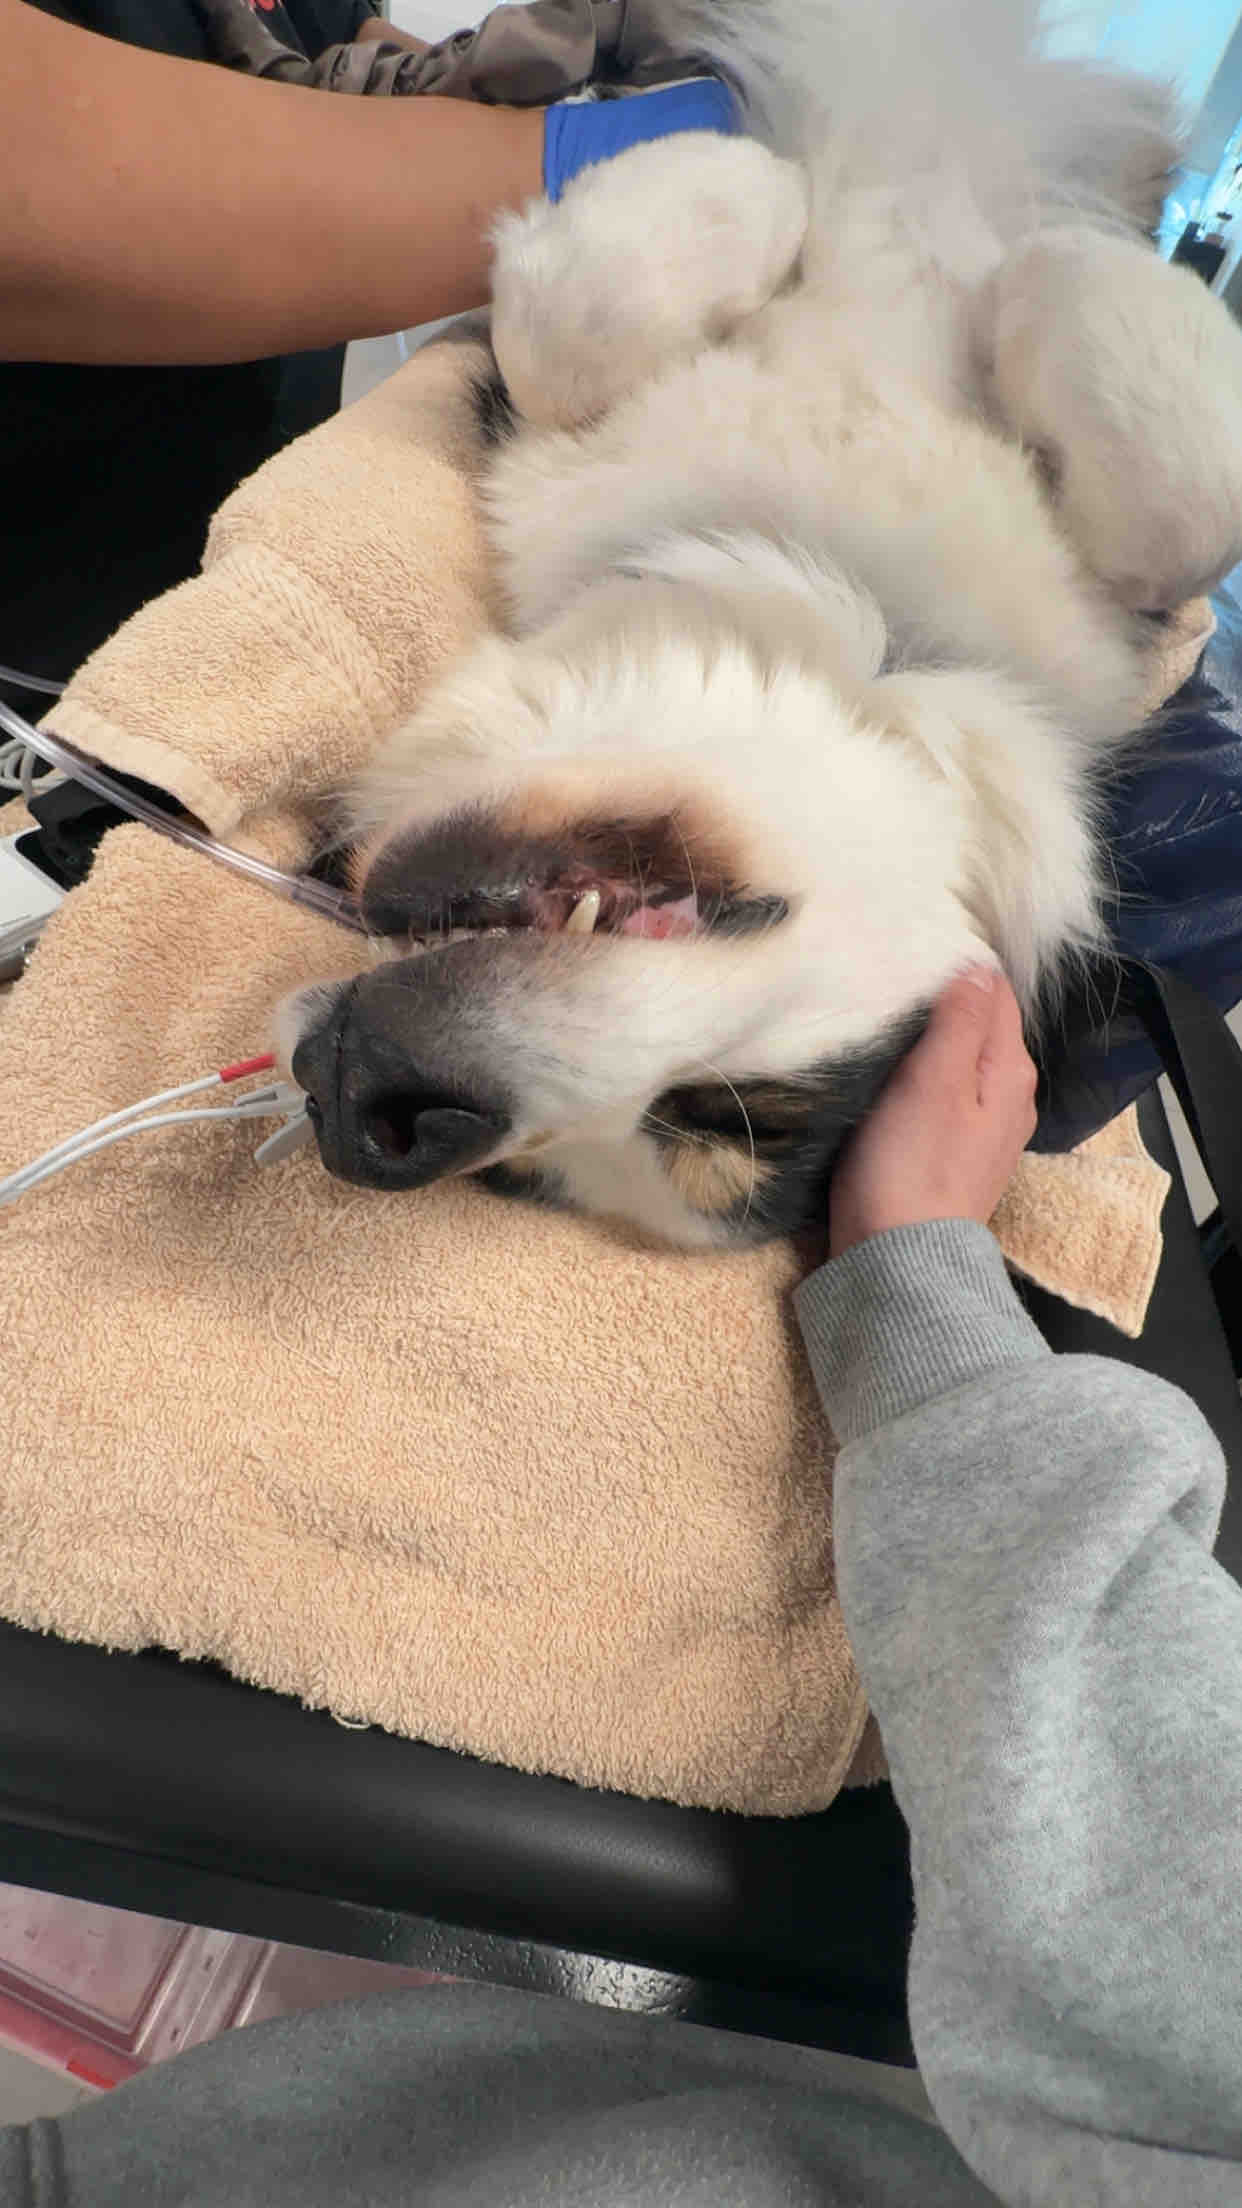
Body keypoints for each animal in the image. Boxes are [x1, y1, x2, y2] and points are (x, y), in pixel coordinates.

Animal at [282, 0, 1242, 1248]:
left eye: (725, 1121)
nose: (365, 1100)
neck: (838, 568)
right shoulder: (552, 437)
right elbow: (575, 328)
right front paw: (755, 171)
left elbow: (1181, 503)